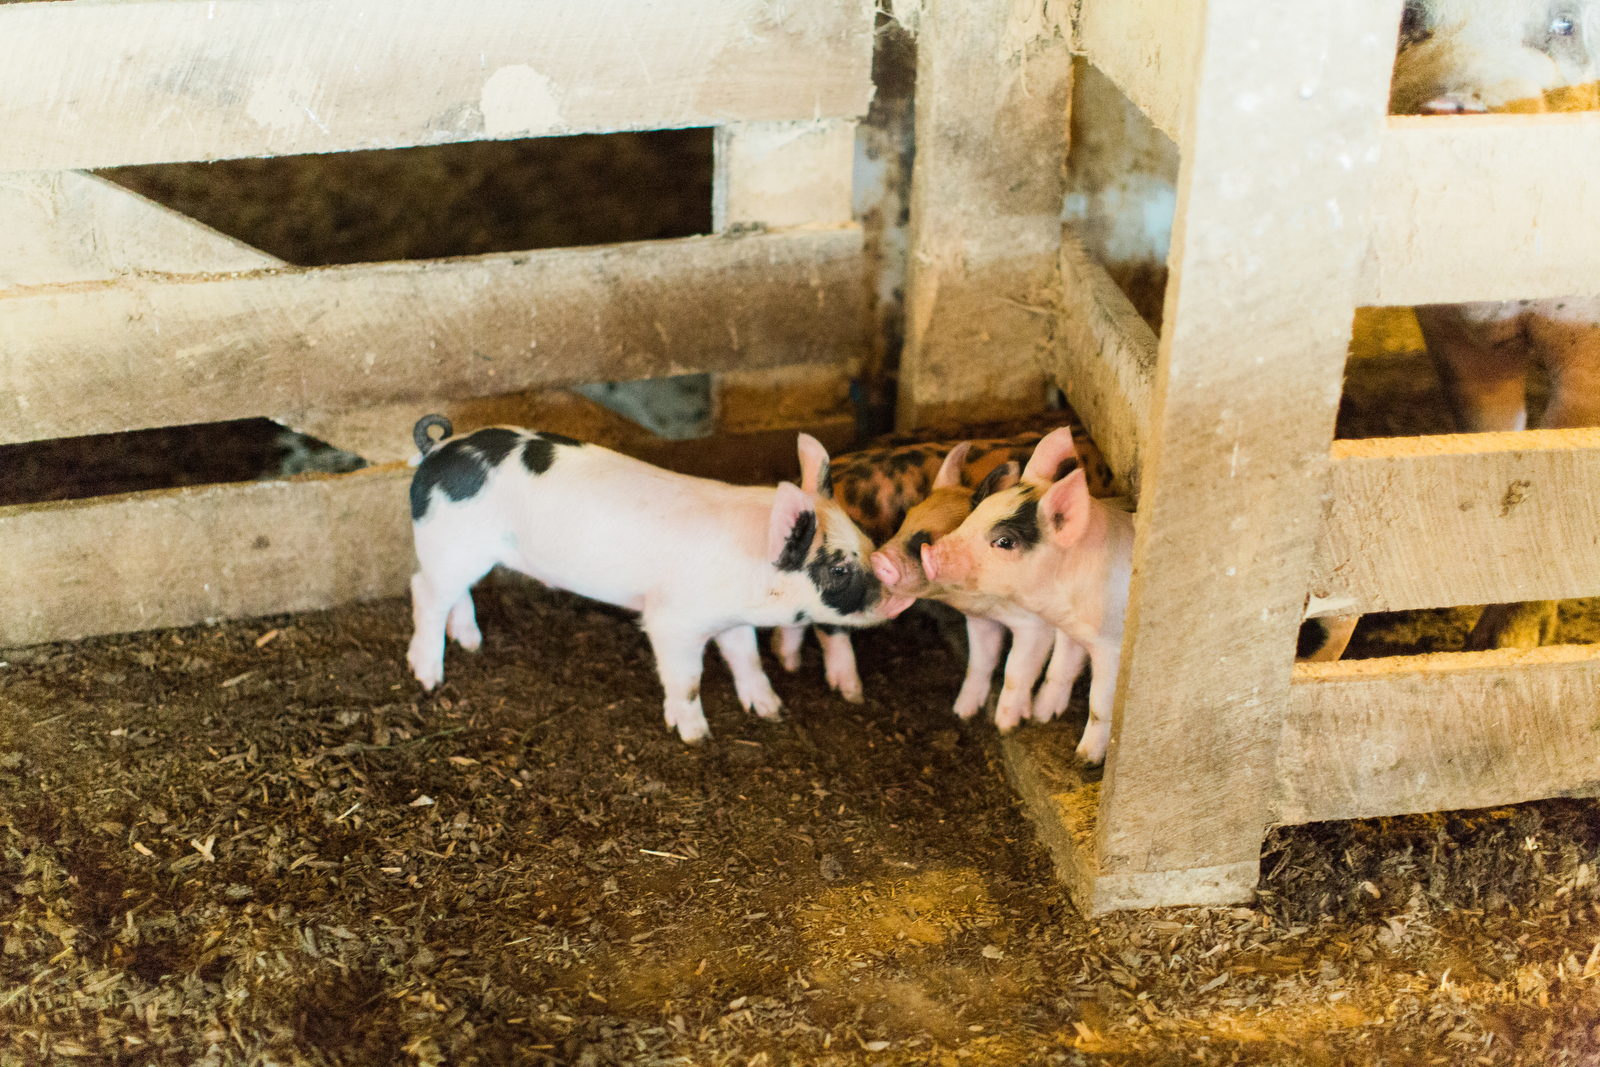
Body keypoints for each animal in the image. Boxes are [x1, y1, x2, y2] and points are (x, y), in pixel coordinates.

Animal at [406, 415, 908, 742]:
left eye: (868, 541)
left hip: (464, 554)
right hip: (450, 545)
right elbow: (686, 678)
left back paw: (472, 643)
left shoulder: (731, 620)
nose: (900, 596)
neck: (749, 582)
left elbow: (747, 658)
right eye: (839, 568)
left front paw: (772, 712)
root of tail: (438, 450)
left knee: (454, 593)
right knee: (423, 591)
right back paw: (428, 677)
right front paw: (697, 737)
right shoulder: (672, 622)